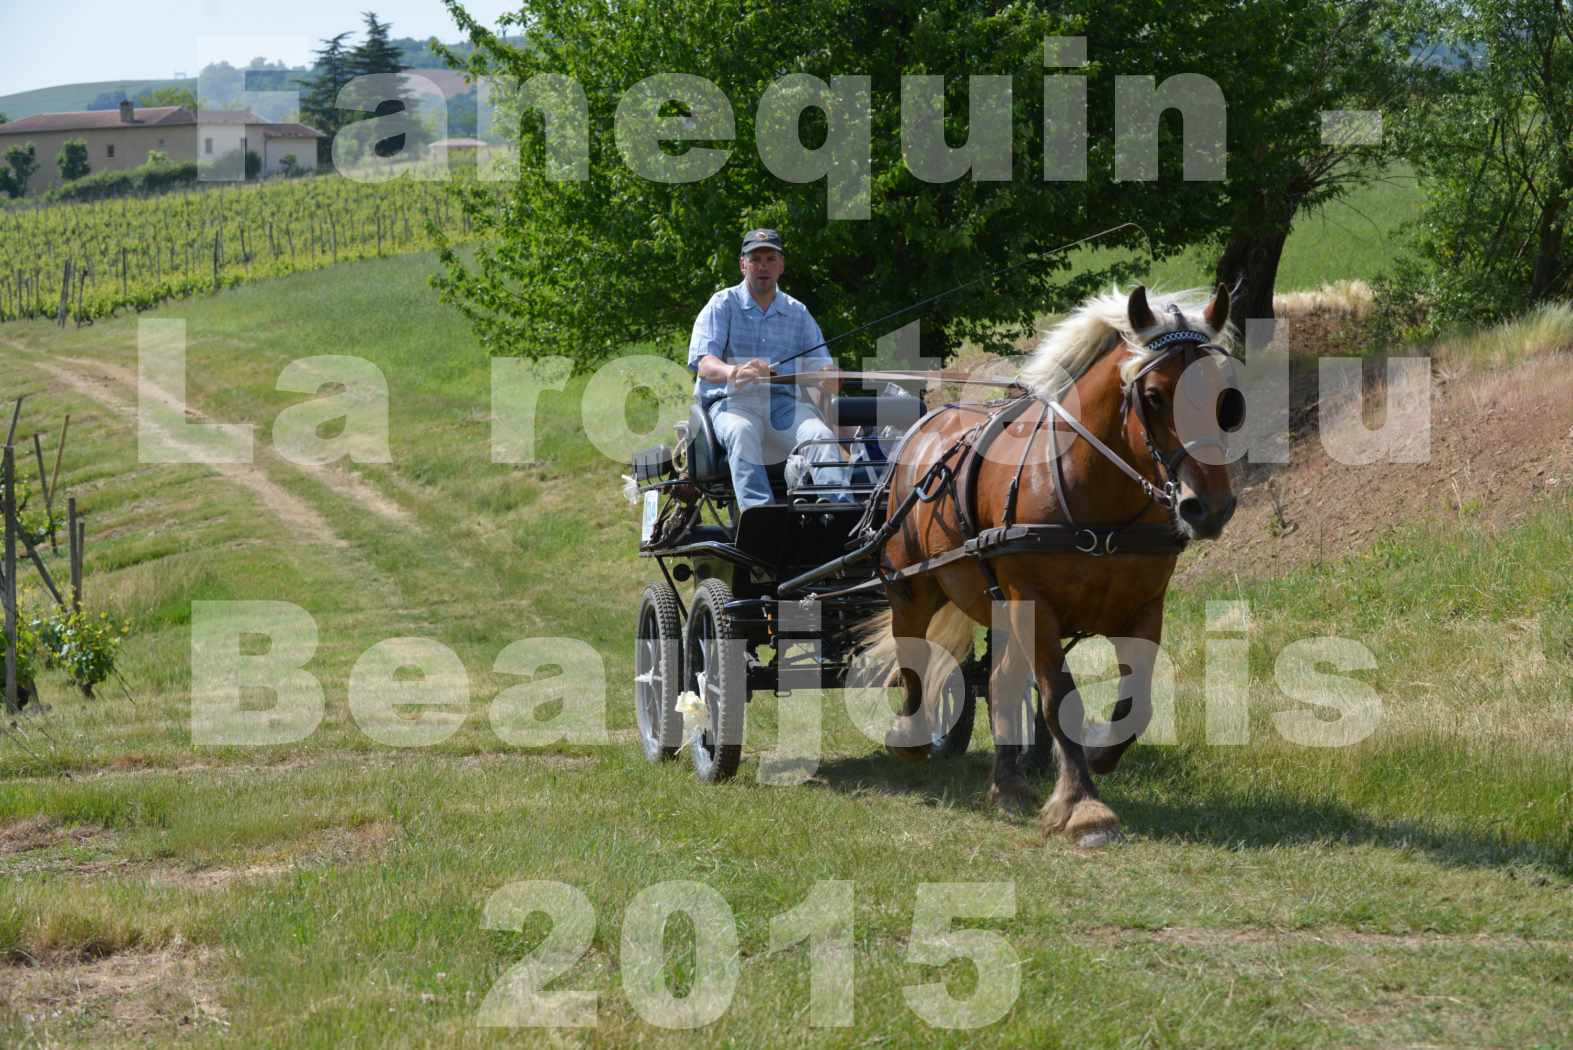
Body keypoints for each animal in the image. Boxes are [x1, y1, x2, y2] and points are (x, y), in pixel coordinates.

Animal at [862, 284, 1239, 842]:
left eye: (1224, 398)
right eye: (1153, 396)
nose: (1208, 507)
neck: (1099, 502)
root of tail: (929, 421)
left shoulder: (1144, 607)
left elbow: (1137, 701)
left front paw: (1100, 754)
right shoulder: (1035, 606)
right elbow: (1060, 697)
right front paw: (1084, 806)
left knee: (1000, 682)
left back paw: (1008, 784)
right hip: (913, 585)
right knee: (912, 652)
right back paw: (911, 735)